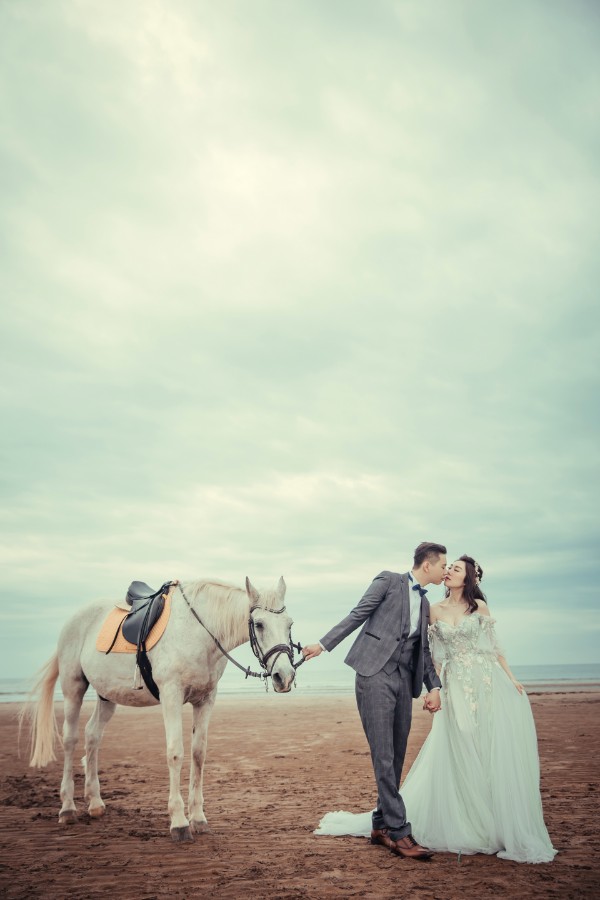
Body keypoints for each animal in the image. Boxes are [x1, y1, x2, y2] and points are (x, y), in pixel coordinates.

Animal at [21, 580, 298, 840]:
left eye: (289, 624)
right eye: (259, 624)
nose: (284, 676)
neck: (198, 632)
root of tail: (74, 619)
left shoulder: (205, 700)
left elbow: (198, 755)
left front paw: (198, 818)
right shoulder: (171, 696)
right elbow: (176, 754)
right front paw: (179, 822)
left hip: (106, 696)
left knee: (92, 736)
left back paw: (96, 803)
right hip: (73, 689)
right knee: (70, 740)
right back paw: (67, 808)